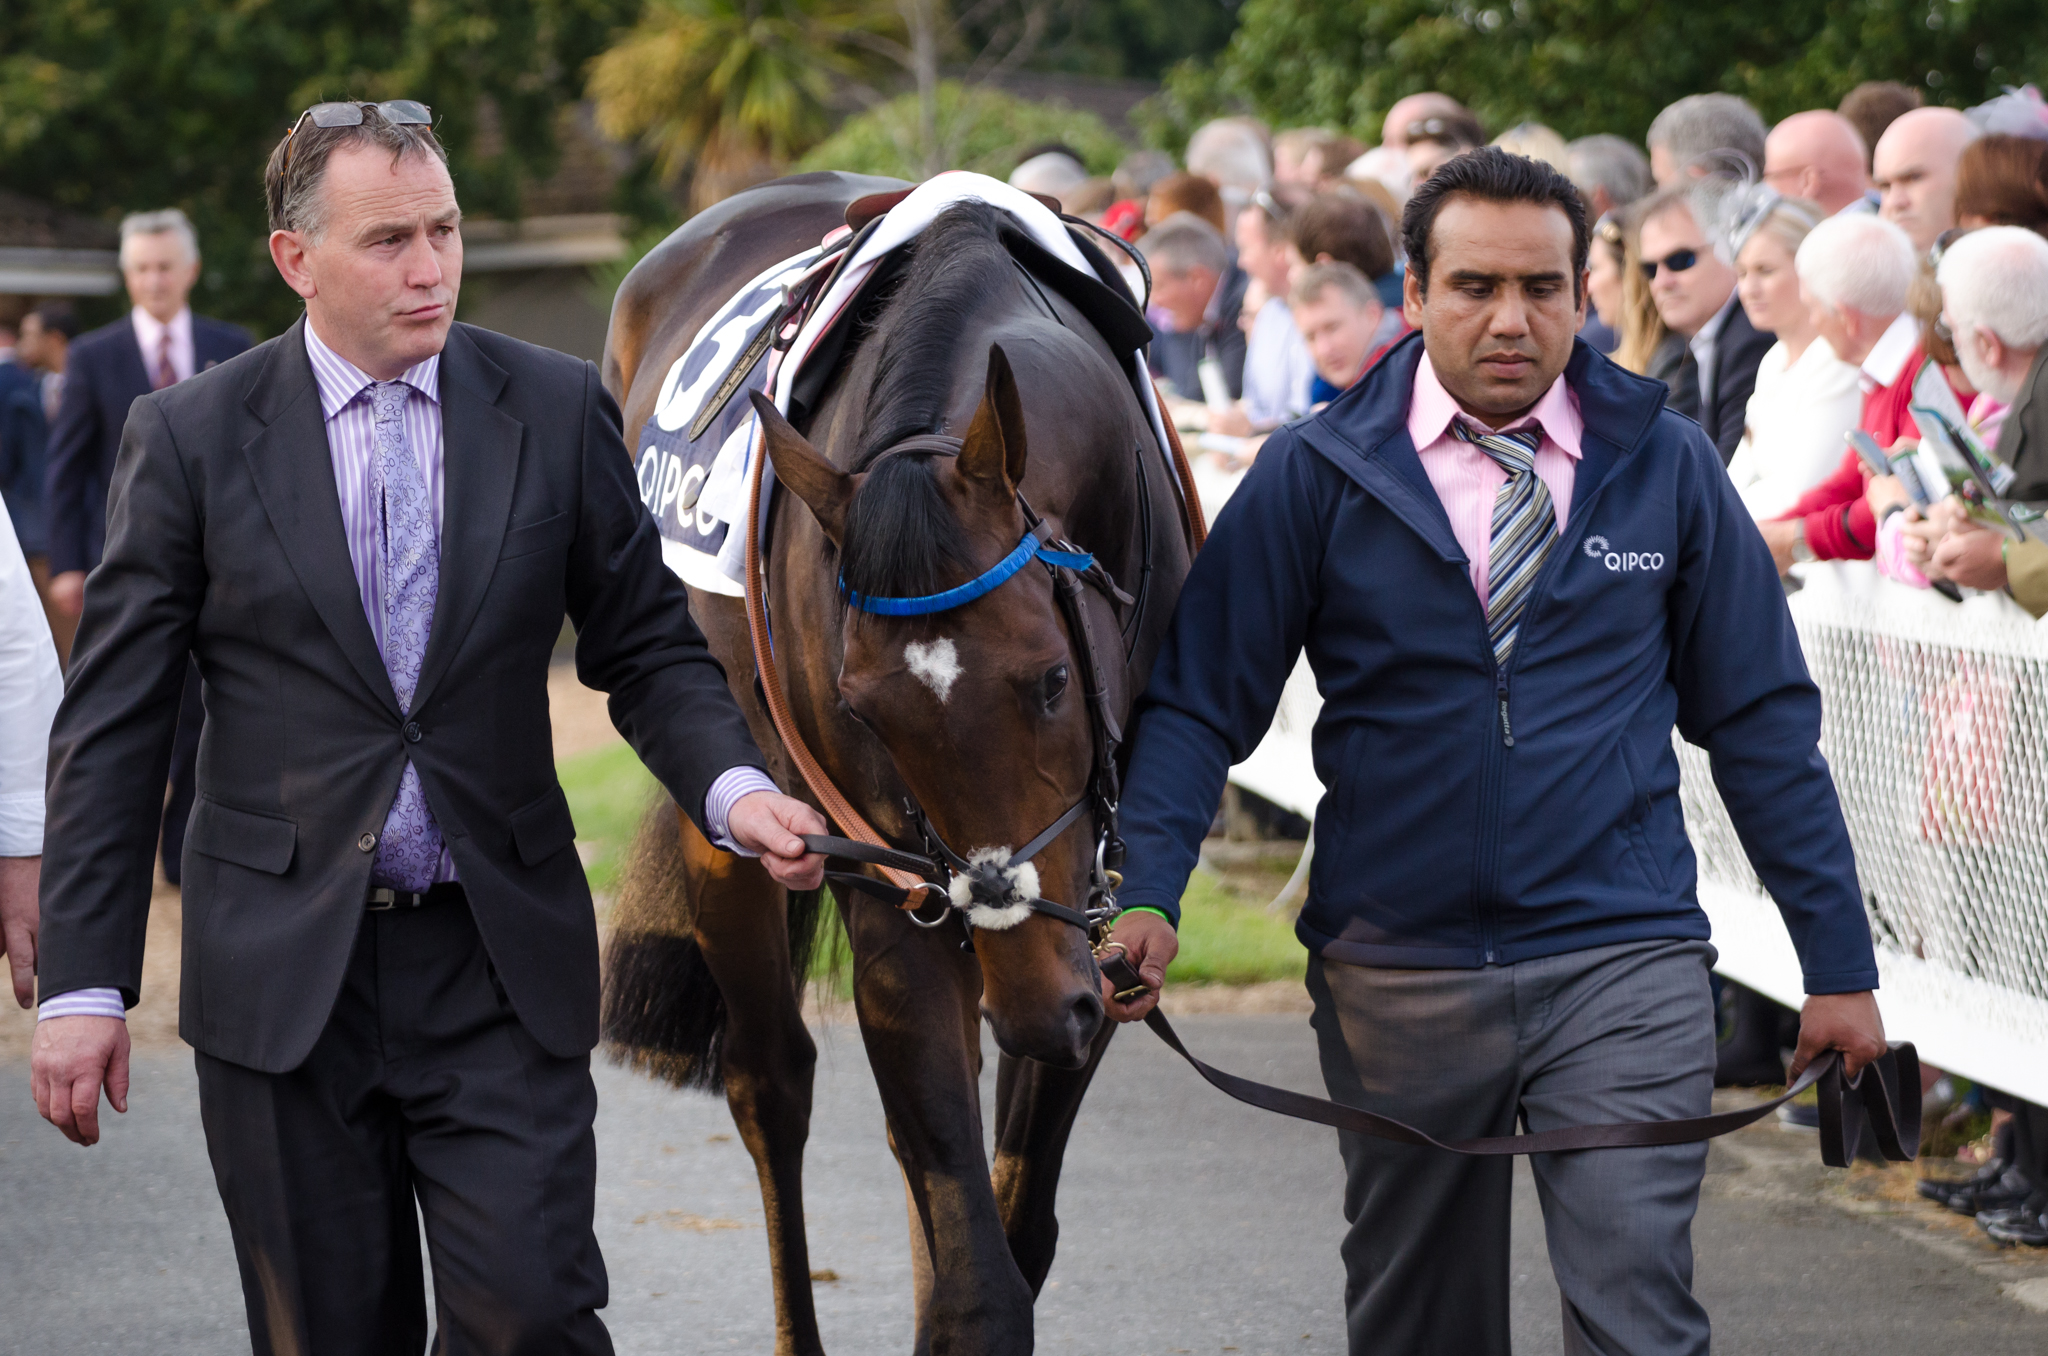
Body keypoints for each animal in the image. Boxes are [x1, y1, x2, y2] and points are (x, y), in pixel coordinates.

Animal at [599, 171, 1194, 1354]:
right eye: (864, 709)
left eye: (1049, 680)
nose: (1038, 1002)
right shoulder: (901, 892)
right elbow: (976, 1282)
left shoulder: (1096, 926)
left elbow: (1008, 1226)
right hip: (727, 822)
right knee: (768, 1085)